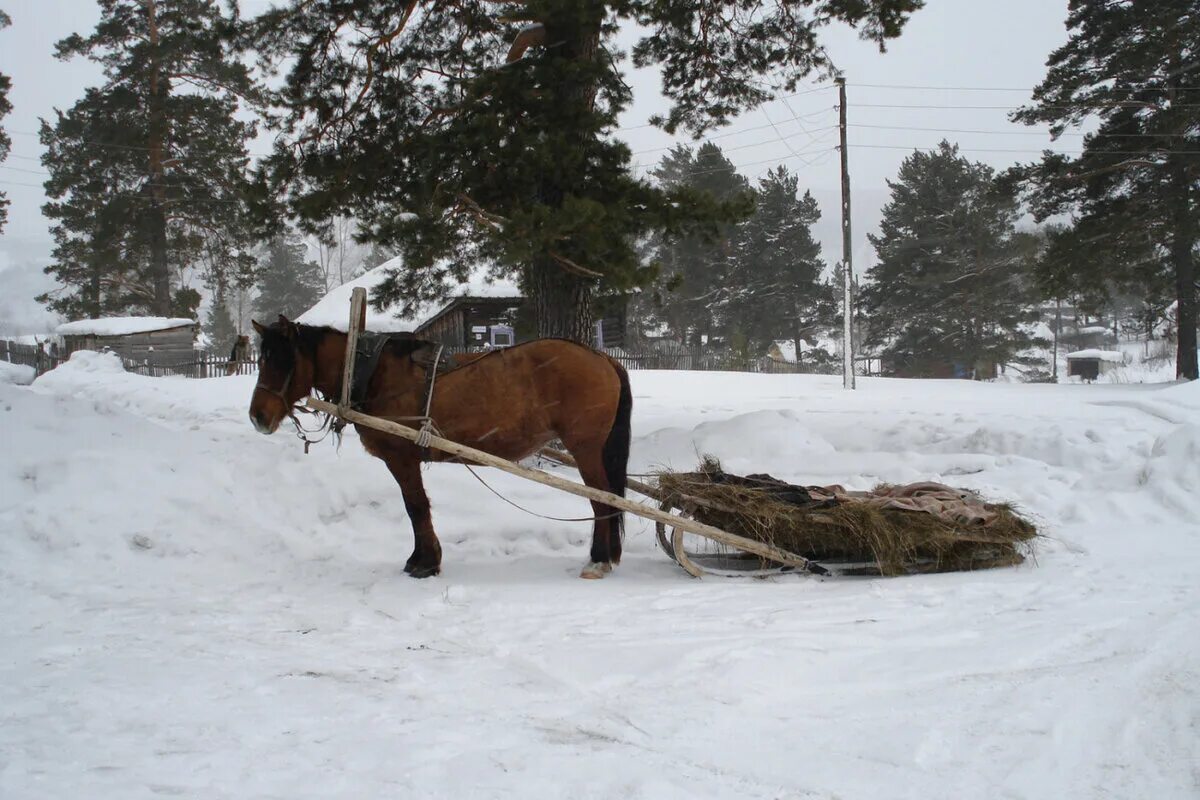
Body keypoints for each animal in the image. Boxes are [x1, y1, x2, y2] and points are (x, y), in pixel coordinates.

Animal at [247, 316, 633, 582]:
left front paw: (425, 562)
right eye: (261, 359)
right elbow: (416, 508)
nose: (257, 417)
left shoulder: (401, 458)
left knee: (602, 500)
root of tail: (602, 358)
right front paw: (422, 559)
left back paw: (599, 559)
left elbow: (415, 507)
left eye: (283, 360)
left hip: (585, 447)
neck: (372, 374)